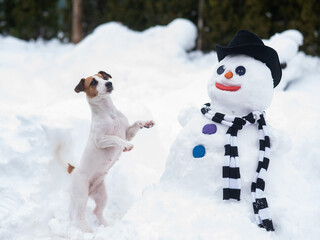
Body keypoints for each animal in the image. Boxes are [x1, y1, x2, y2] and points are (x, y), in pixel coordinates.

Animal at [69, 71, 154, 231]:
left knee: (97, 211)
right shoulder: (101, 140)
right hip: (81, 195)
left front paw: (146, 123)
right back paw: (87, 230)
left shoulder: (128, 132)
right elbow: (115, 138)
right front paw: (125, 145)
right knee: (79, 216)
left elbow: (135, 124)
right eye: (93, 82)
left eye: (104, 78)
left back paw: (106, 225)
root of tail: (73, 171)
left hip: (101, 195)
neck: (109, 113)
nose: (109, 84)